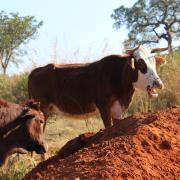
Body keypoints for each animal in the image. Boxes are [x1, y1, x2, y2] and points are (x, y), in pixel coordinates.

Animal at [27, 45, 167, 128]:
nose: (158, 84)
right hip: (42, 111)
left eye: (154, 62)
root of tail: (34, 71)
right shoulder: (103, 106)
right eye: (140, 63)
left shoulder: (117, 110)